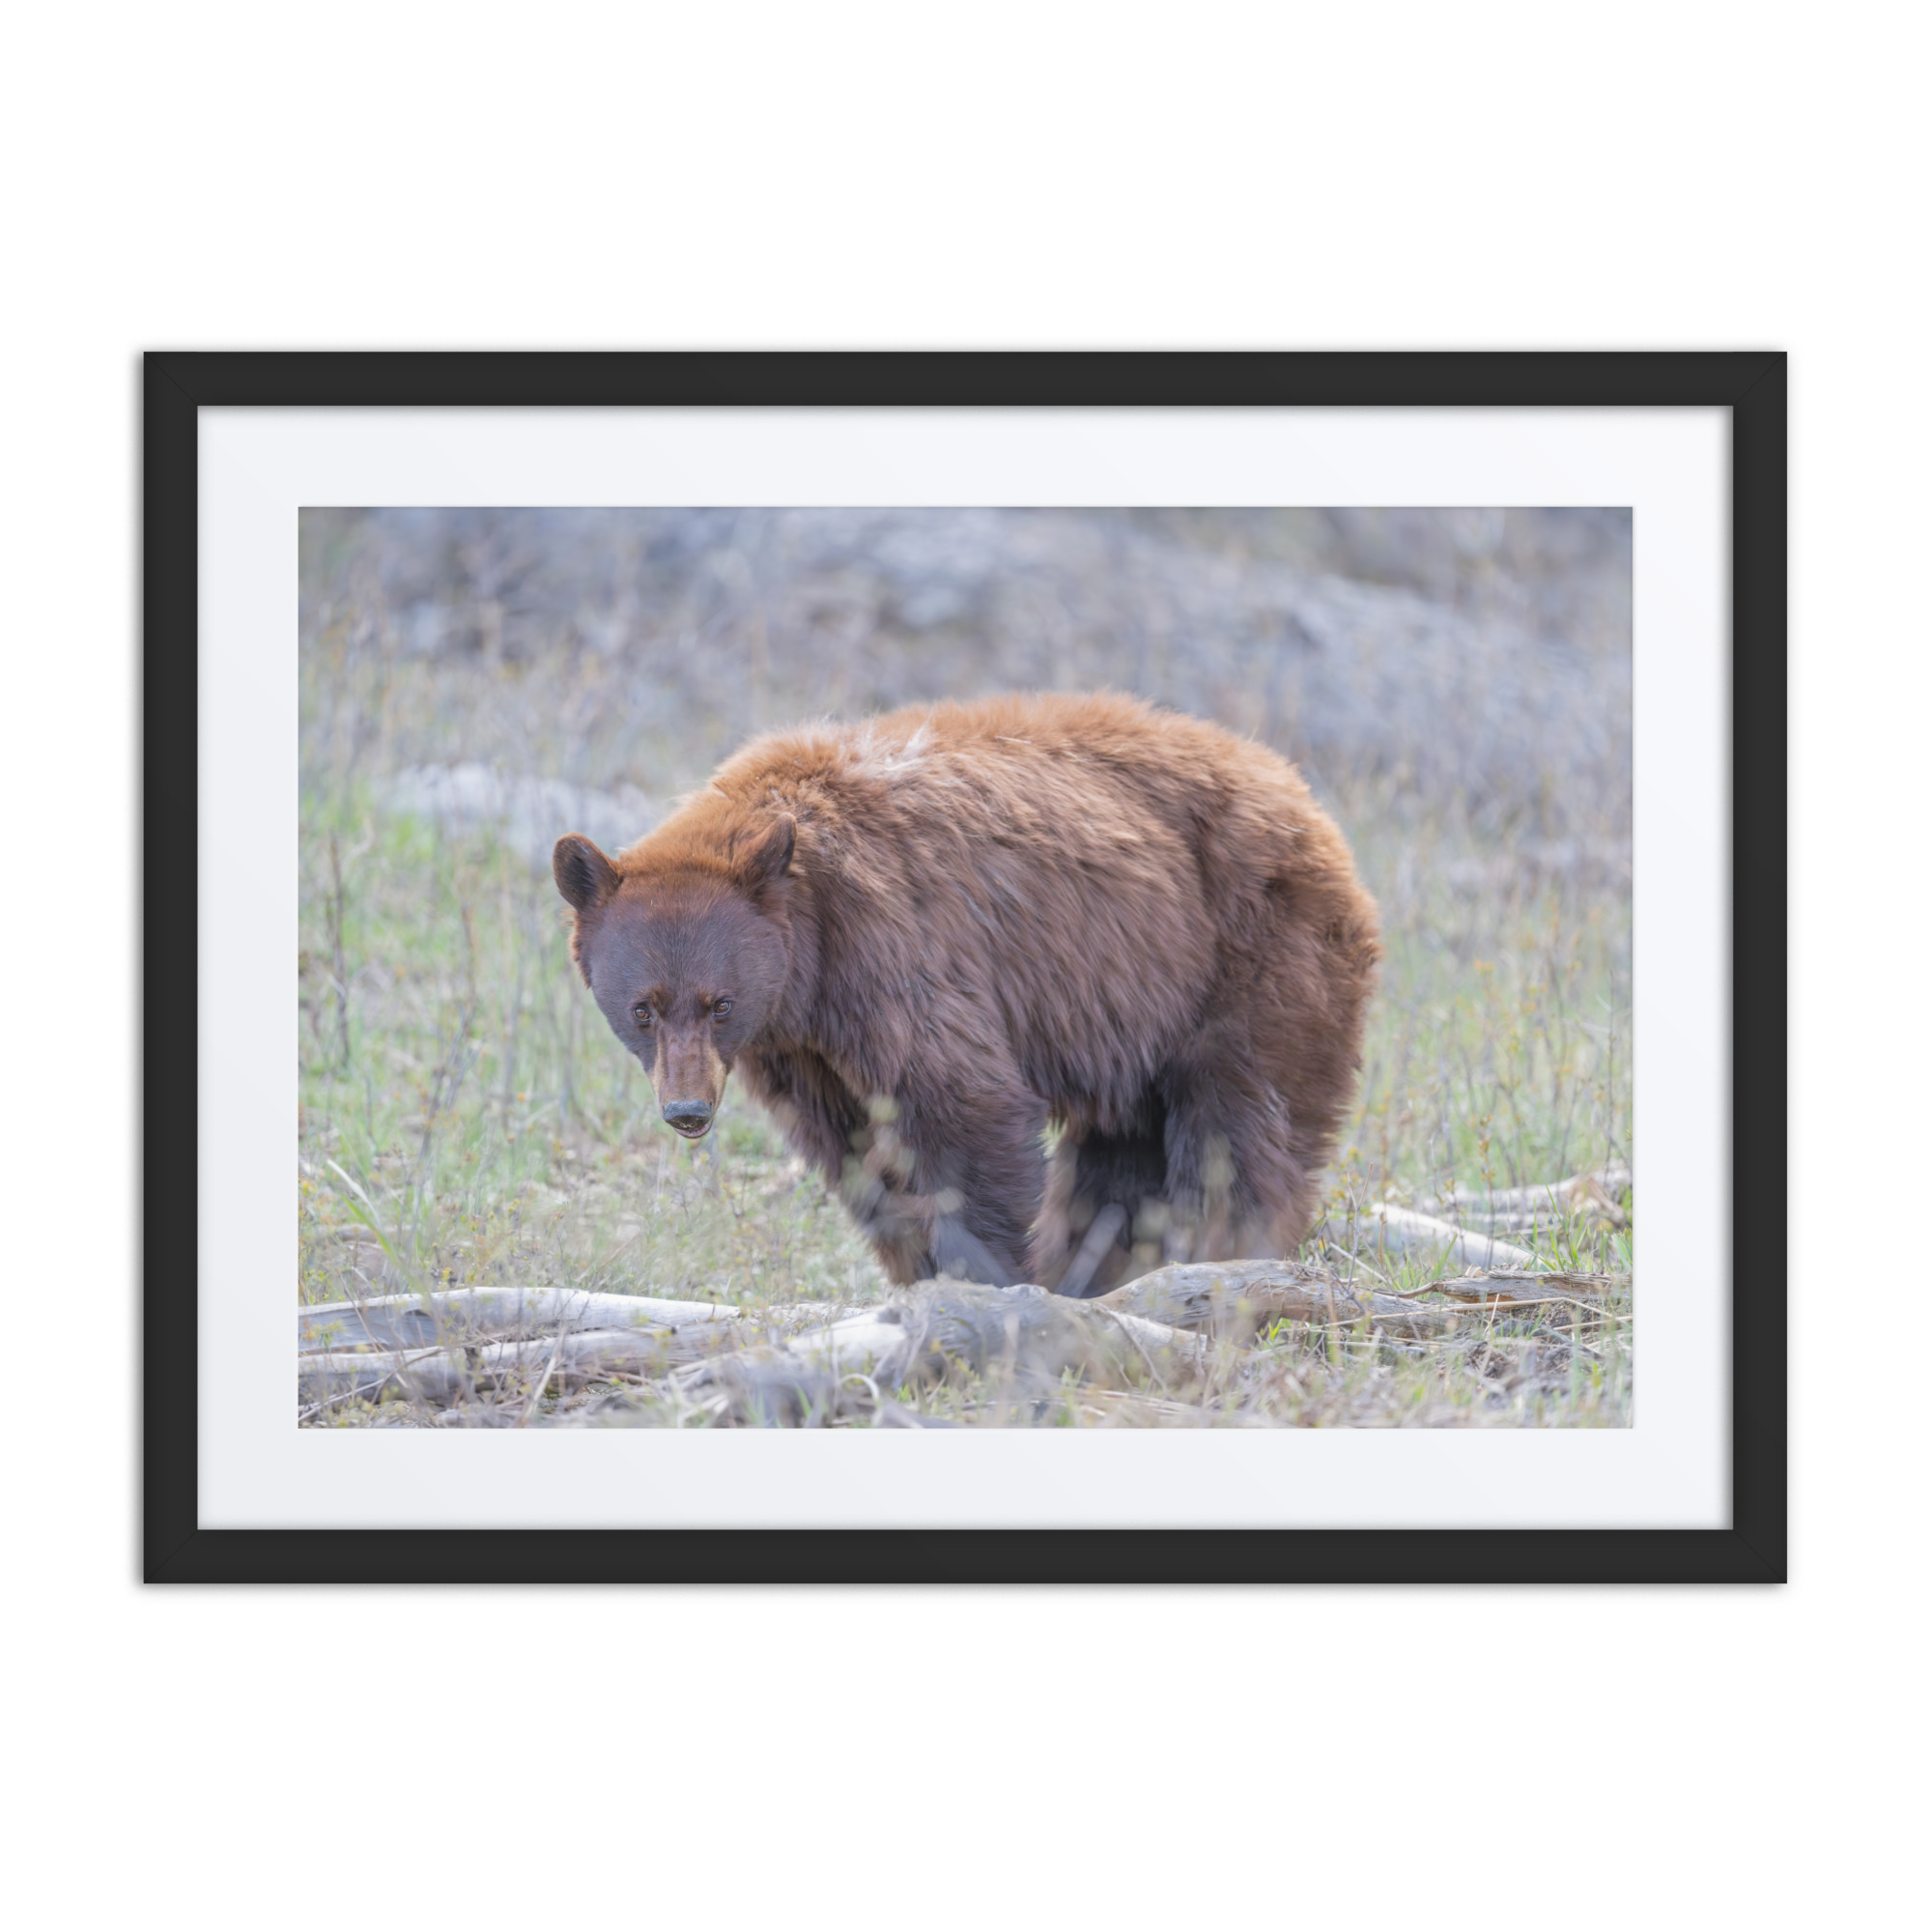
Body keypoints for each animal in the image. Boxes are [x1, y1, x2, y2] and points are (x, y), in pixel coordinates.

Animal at [552, 692, 1380, 1296]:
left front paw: (985, 1277)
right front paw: (920, 1272)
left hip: (1249, 954)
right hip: (1139, 1010)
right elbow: (856, 1150)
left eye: (719, 1003)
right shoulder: (802, 1049)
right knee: (1122, 1152)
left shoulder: (895, 950)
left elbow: (963, 1107)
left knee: (1239, 1126)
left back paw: (1219, 1253)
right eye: (643, 1009)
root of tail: (1302, 795)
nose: (687, 1111)